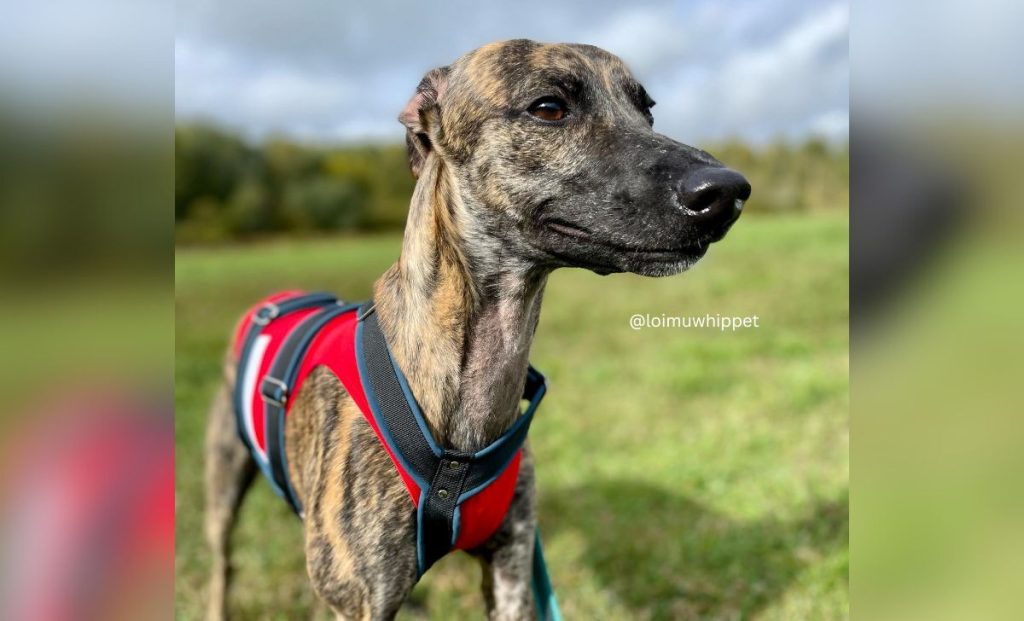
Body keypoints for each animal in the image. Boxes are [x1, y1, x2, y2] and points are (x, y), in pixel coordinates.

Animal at [205, 38, 753, 621]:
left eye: (647, 111)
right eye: (549, 108)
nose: (729, 192)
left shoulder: (511, 563)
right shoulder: (360, 601)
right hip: (223, 486)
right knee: (223, 564)